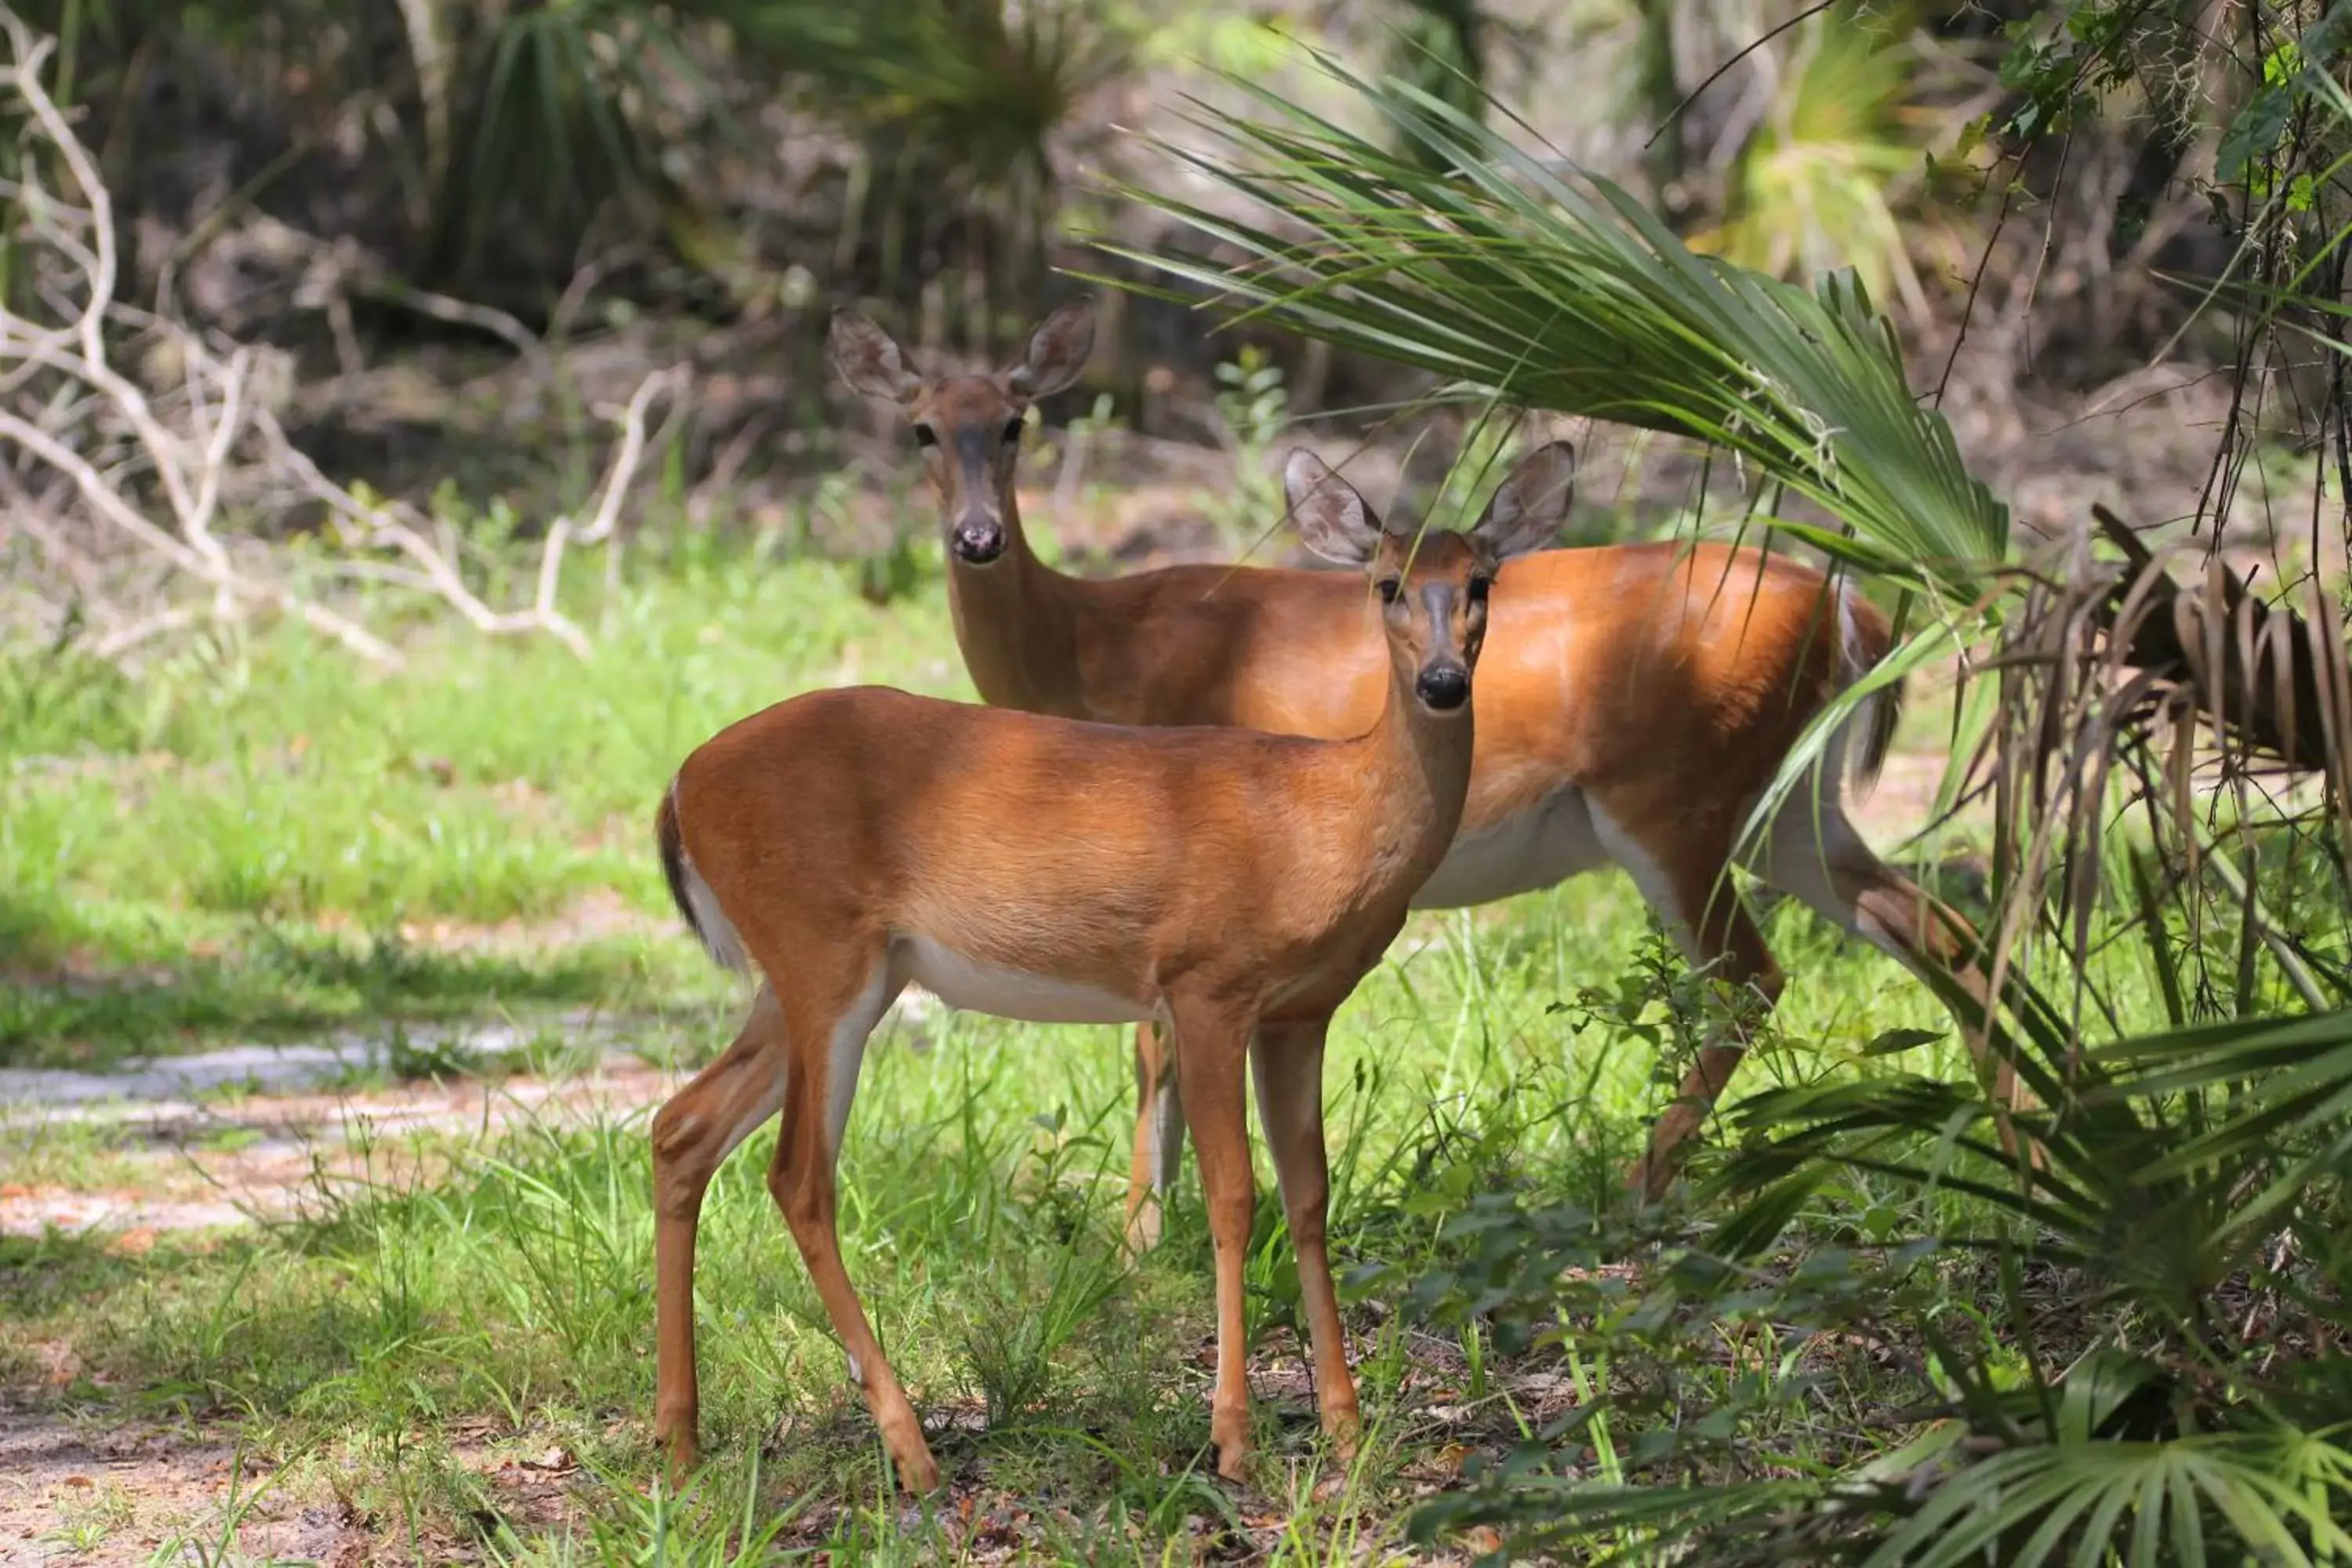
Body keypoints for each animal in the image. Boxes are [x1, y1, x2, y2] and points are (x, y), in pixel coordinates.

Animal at [649, 444, 1562, 1495]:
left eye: (1483, 582)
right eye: (1387, 585)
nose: (1446, 681)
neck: (1324, 818)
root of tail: (680, 784)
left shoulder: (1302, 1010)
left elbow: (1310, 1194)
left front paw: (1345, 1426)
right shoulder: (1206, 979)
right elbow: (1233, 1194)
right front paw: (1233, 1437)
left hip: (820, 973)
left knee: (682, 1127)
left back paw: (681, 1439)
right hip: (821, 952)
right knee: (798, 1174)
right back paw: (910, 1449)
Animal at [828, 288, 2004, 1232]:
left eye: (1016, 421)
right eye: (922, 427)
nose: (978, 537)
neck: (1091, 649)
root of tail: (1846, 601)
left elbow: (1151, 1047)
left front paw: (1138, 1244)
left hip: (1679, 792)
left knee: (1751, 976)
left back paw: (1639, 1193)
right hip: (1789, 801)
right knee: (1931, 925)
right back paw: (2020, 1129)